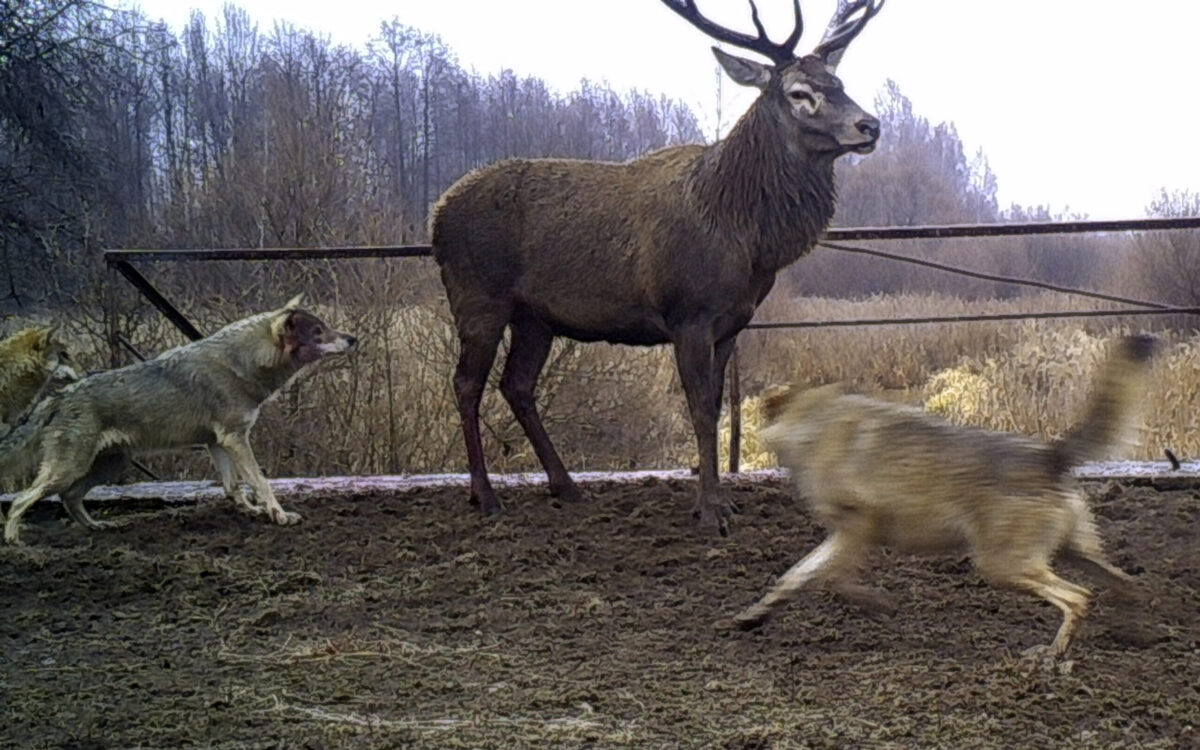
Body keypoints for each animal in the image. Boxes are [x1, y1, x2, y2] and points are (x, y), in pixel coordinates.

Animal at [0, 292, 355, 544]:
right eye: (319, 330)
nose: (353, 339)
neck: (243, 364)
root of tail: (58, 397)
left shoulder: (218, 444)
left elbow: (234, 486)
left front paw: (251, 510)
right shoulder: (235, 439)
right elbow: (260, 481)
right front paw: (279, 515)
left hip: (109, 465)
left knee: (69, 498)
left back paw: (97, 527)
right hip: (71, 469)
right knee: (22, 500)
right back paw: (15, 542)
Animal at [734, 336, 1156, 662]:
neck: (813, 422)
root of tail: (1049, 454)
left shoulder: (859, 524)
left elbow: (835, 579)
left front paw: (877, 604)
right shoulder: (840, 533)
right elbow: (794, 577)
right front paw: (755, 615)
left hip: (1003, 565)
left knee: (1079, 597)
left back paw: (1053, 655)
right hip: (1070, 553)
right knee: (1123, 585)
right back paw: (1132, 631)